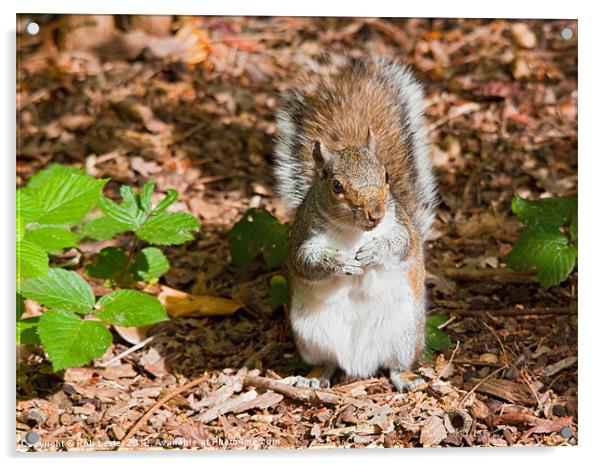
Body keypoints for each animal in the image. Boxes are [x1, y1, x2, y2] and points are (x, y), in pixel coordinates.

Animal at [272, 57, 436, 394]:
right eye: (336, 185)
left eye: (386, 176)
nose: (375, 213)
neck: (354, 233)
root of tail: (360, 363)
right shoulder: (303, 236)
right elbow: (305, 261)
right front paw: (338, 262)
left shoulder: (401, 227)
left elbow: (402, 245)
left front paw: (375, 251)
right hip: (310, 335)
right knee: (326, 362)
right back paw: (312, 377)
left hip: (405, 334)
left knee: (397, 366)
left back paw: (407, 378)